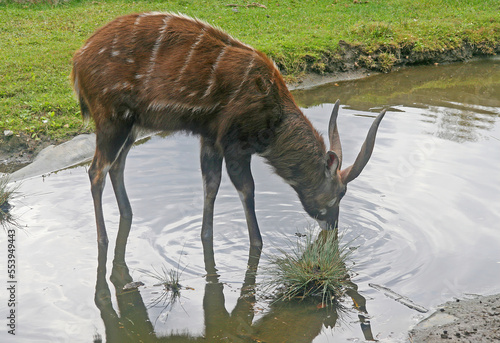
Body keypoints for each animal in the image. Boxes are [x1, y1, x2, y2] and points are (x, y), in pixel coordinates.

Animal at [72, 10, 386, 247]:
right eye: (340, 192)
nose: (333, 227)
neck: (274, 117)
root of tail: (77, 61)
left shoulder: (210, 138)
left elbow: (210, 185)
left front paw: (205, 237)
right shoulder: (235, 143)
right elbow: (247, 189)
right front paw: (257, 244)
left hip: (133, 124)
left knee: (117, 165)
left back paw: (127, 215)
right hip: (113, 119)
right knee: (96, 170)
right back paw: (103, 239)